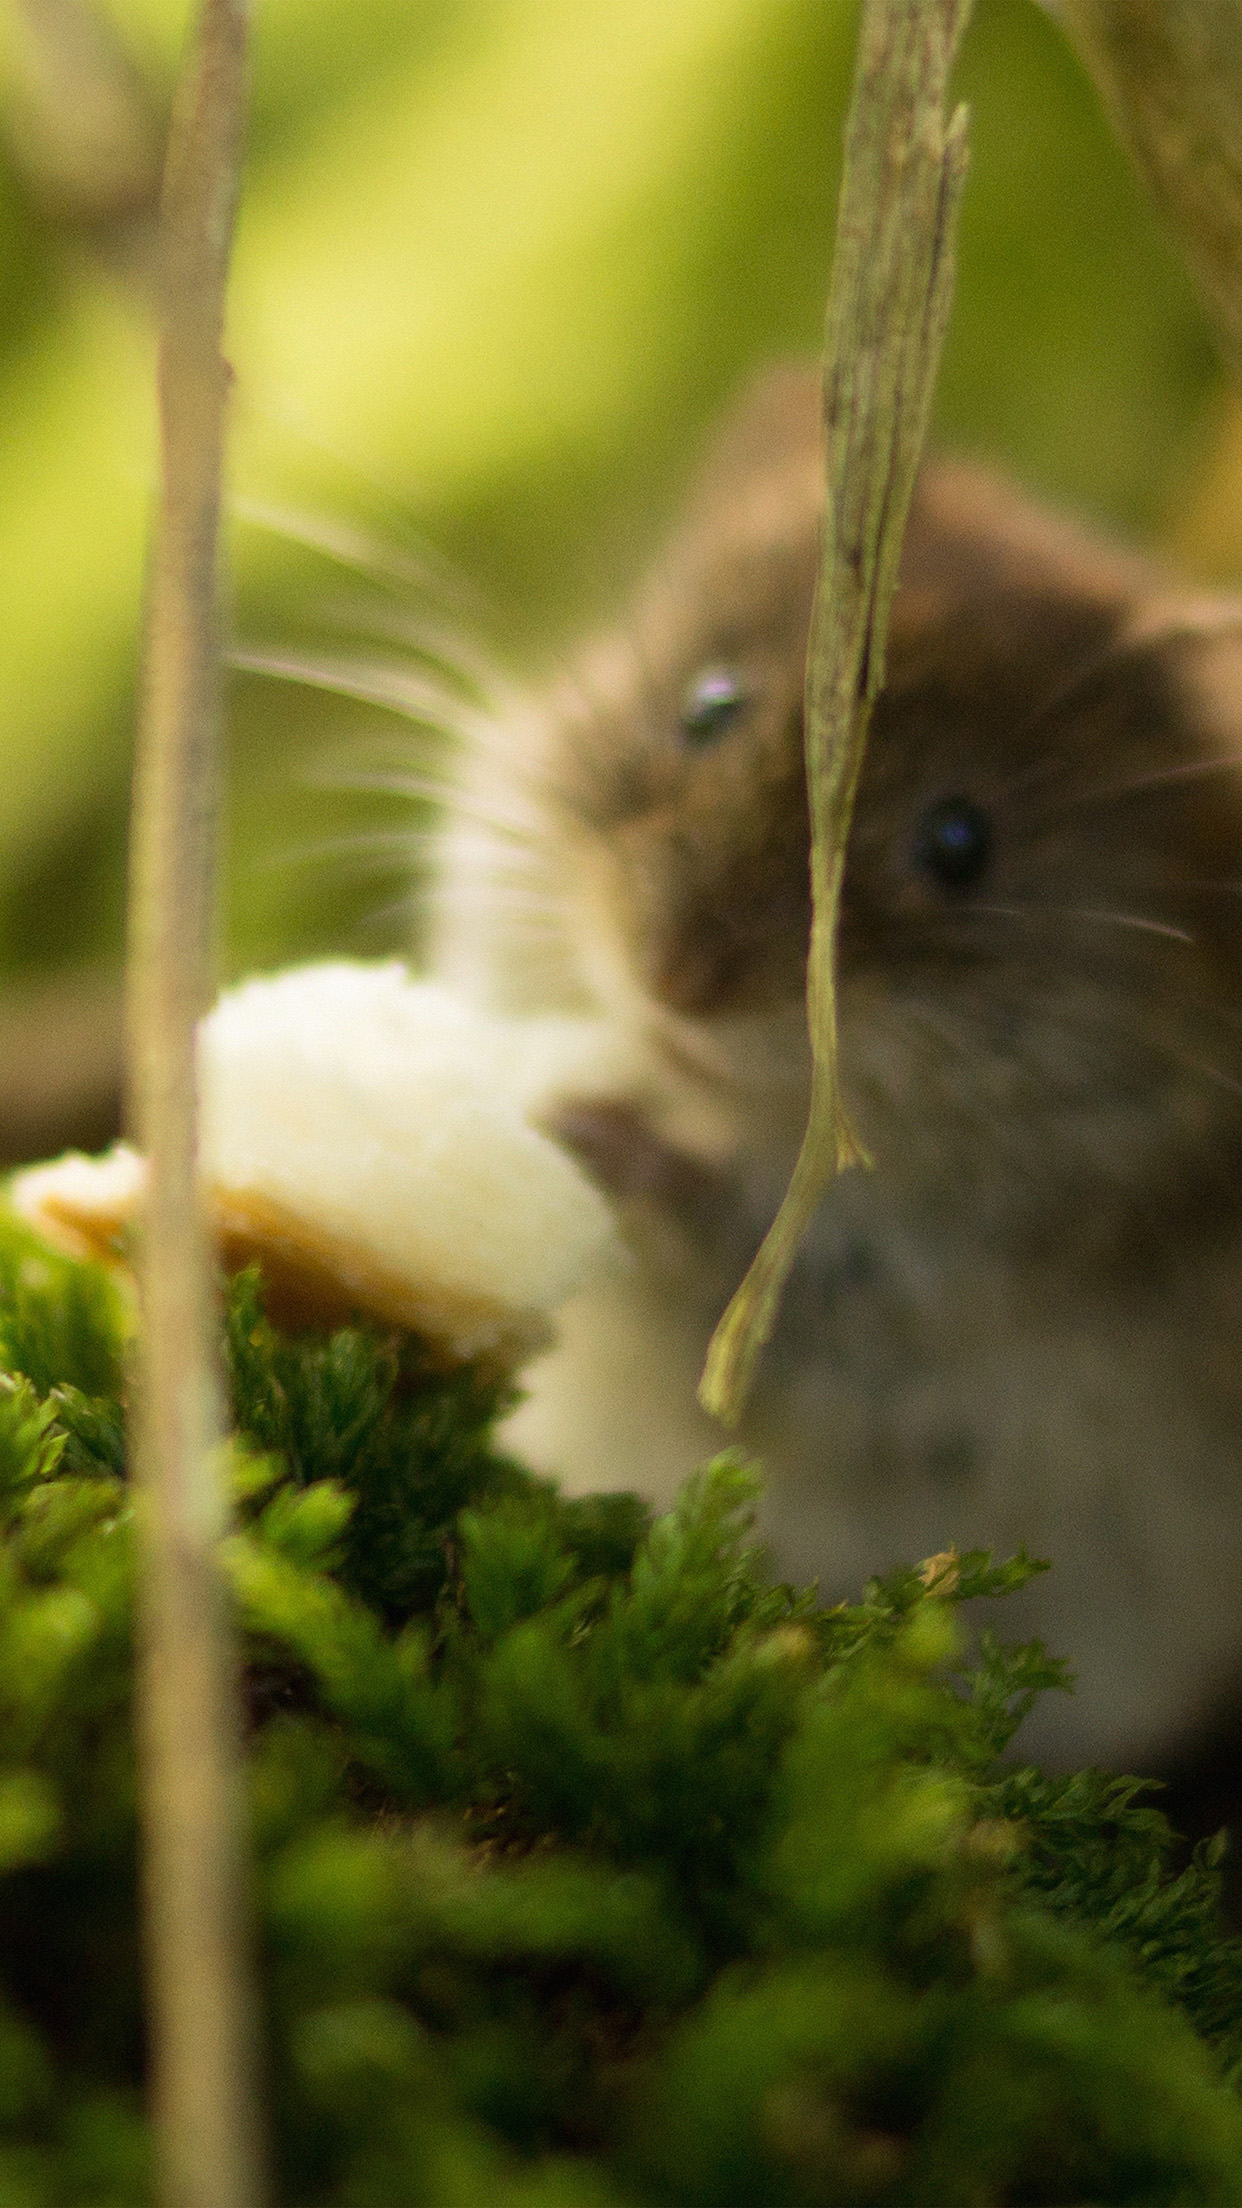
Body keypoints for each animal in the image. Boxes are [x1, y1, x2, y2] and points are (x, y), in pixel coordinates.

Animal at [432, 364, 1242, 1779]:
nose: (673, 979)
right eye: (708, 704)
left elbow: (741, 1278)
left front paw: (591, 1128)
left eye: (963, 843)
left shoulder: (896, 1331)